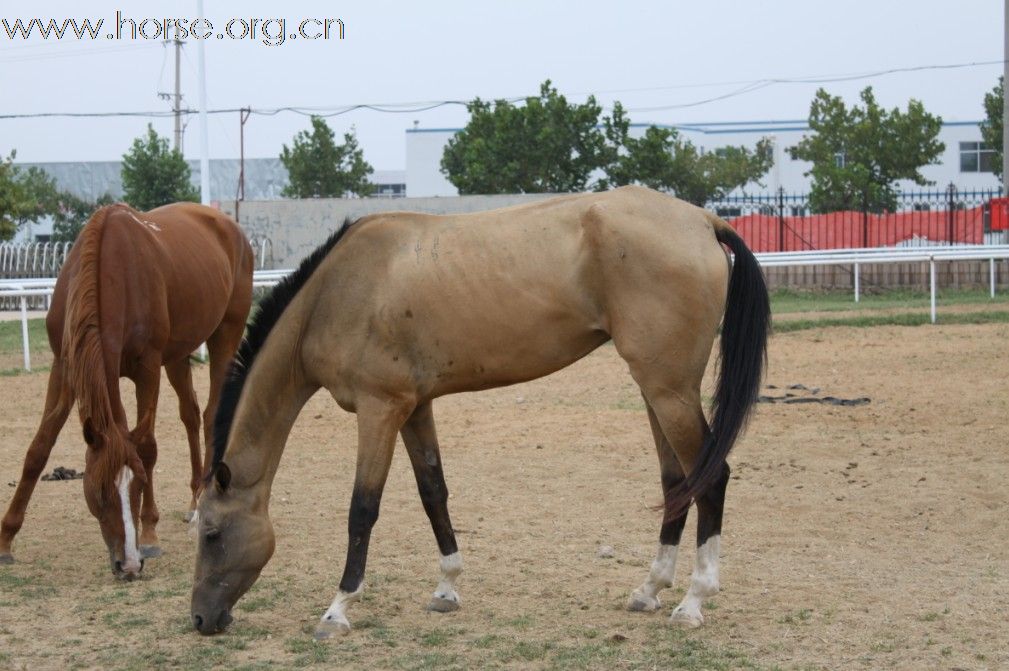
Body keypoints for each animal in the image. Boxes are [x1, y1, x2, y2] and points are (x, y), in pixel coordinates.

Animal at [0, 201, 252, 577]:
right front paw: (6, 538)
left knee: (210, 414)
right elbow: (39, 448)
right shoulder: (65, 366)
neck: (109, 269)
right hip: (177, 356)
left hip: (226, 335)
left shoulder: (146, 367)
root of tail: (230, 227)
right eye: (99, 489)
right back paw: (194, 500)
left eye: (139, 485)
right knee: (191, 414)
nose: (128, 564)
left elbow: (146, 446)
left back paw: (203, 502)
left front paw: (149, 533)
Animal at [190, 185, 770, 637]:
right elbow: (433, 492)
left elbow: (362, 508)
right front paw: (446, 587)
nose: (200, 620)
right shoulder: (414, 407)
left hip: (669, 391)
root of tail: (703, 220)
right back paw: (649, 589)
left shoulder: (379, 410)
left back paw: (692, 600)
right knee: (677, 481)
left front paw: (337, 608)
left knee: (711, 476)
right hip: (657, 389)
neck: (340, 291)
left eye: (212, 533)